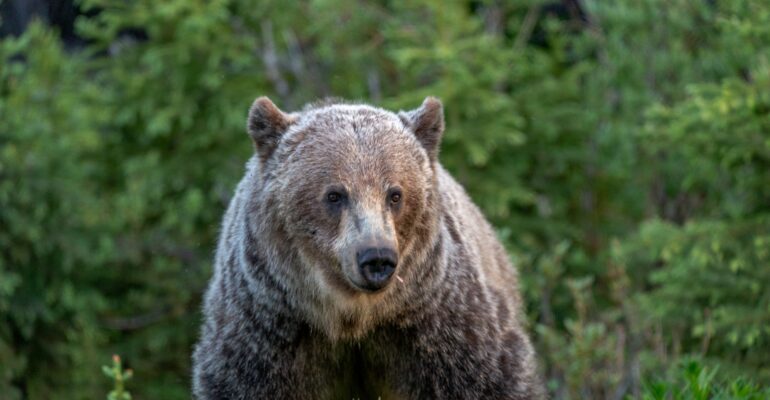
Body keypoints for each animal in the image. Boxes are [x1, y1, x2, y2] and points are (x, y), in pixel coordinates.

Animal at [192, 96, 543, 399]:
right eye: (334, 194)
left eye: (395, 194)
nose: (376, 257)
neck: (355, 317)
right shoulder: (269, 331)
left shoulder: (440, 325)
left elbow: (487, 378)